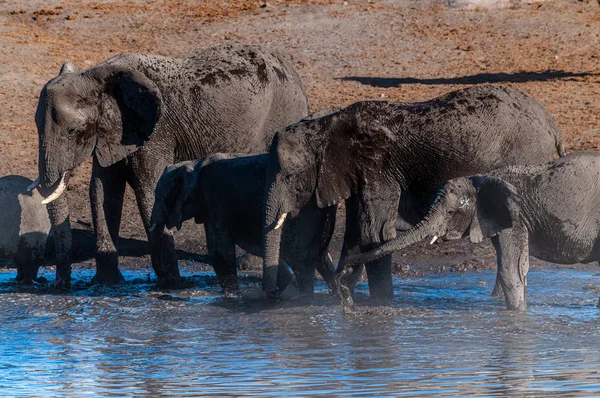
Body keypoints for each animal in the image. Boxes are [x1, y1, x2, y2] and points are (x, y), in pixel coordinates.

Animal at [29, 42, 308, 286]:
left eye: (72, 131)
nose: (60, 285)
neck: (97, 76)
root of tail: (291, 70)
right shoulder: (111, 133)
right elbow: (102, 191)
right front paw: (106, 284)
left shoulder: (155, 132)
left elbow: (148, 190)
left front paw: (172, 284)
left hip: (281, 117)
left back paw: (249, 264)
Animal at [150, 154, 338, 294]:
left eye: (159, 198)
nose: (169, 282)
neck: (194, 164)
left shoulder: (215, 206)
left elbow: (220, 253)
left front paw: (232, 297)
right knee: (320, 259)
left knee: (299, 258)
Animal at [262, 85, 564, 300]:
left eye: (290, 176)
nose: (340, 274)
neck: (326, 126)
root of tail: (550, 120)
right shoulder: (358, 173)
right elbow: (356, 231)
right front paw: (346, 297)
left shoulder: (379, 169)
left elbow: (374, 233)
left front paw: (379, 305)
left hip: (524, 158)